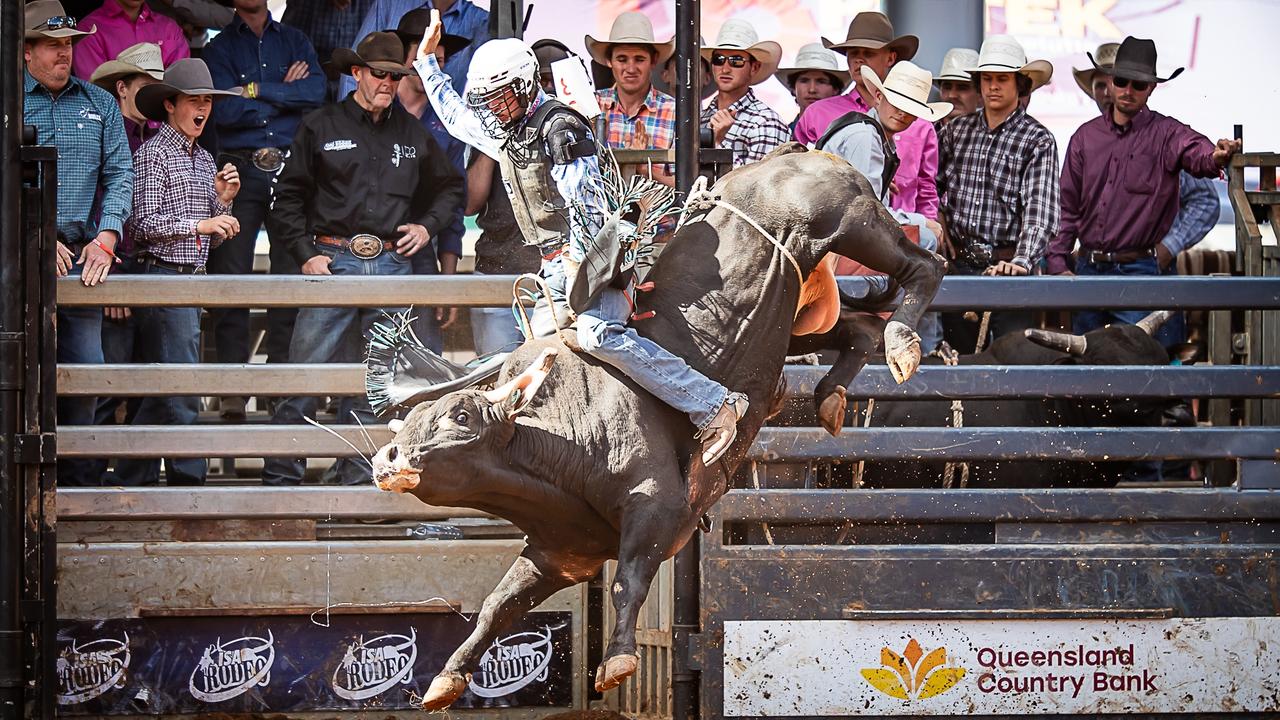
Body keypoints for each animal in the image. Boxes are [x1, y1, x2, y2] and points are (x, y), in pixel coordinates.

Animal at [366, 144, 947, 707]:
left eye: (461, 416)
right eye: (409, 421)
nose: (387, 459)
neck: (562, 446)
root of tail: (798, 153)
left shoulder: (657, 511)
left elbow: (628, 581)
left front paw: (617, 661)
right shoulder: (559, 554)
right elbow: (496, 606)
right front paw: (446, 679)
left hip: (854, 223)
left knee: (925, 266)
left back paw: (902, 343)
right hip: (798, 322)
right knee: (859, 327)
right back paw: (831, 397)